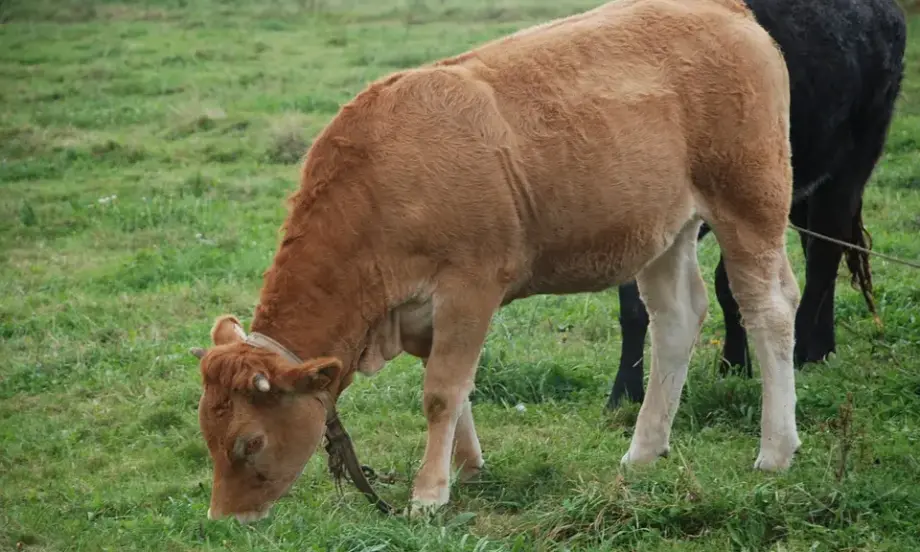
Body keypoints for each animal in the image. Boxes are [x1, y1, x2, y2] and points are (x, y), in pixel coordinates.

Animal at [190, 0, 800, 520]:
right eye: (207, 435)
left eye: (250, 441)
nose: (225, 519)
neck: (379, 183)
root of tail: (721, 10)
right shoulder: (423, 313)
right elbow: (456, 388)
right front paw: (466, 466)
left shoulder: (470, 286)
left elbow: (441, 392)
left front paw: (428, 494)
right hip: (665, 228)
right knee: (676, 318)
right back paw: (644, 450)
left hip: (750, 201)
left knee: (767, 310)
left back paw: (775, 450)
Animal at [604, 0, 904, 410]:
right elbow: (636, 301)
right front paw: (626, 393)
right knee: (818, 250)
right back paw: (822, 349)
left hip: (850, 166)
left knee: (824, 257)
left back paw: (803, 353)